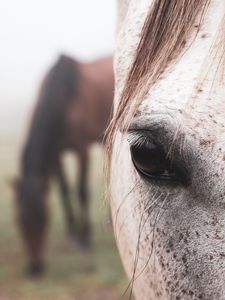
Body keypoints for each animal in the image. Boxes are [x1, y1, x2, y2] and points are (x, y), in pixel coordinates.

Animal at [13, 55, 113, 276]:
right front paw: (73, 234)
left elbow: (82, 191)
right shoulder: (55, 154)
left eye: (44, 220)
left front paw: (84, 237)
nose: (35, 268)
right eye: (20, 222)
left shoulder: (82, 150)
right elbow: (64, 190)